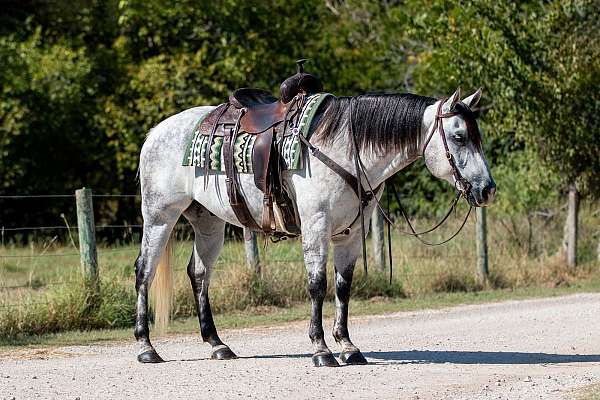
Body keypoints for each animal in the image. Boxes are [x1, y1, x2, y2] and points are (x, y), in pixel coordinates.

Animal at [135, 89, 496, 368]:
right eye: (459, 137)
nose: (487, 189)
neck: (346, 149)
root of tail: (155, 132)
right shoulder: (316, 226)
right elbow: (317, 286)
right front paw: (321, 350)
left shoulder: (351, 235)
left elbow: (343, 288)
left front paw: (348, 347)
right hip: (159, 217)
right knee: (144, 271)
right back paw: (146, 347)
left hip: (208, 222)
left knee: (198, 274)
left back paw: (217, 344)